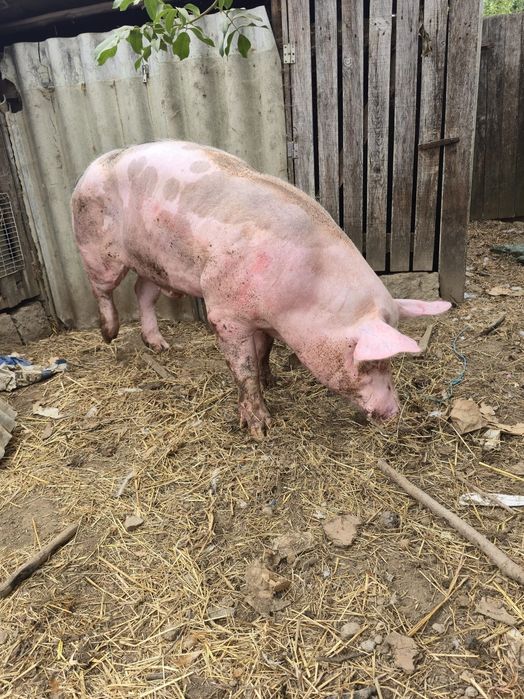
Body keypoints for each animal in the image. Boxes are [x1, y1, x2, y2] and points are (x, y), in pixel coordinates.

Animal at [71, 140, 451, 438]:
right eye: (371, 364)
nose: (393, 412)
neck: (304, 297)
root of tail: (90, 168)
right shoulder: (224, 313)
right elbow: (243, 369)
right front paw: (259, 428)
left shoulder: (264, 318)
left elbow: (264, 351)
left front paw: (274, 381)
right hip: (95, 245)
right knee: (102, 288)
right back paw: (109, 333)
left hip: (154, 264)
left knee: (142, 292)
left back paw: (161, 346)